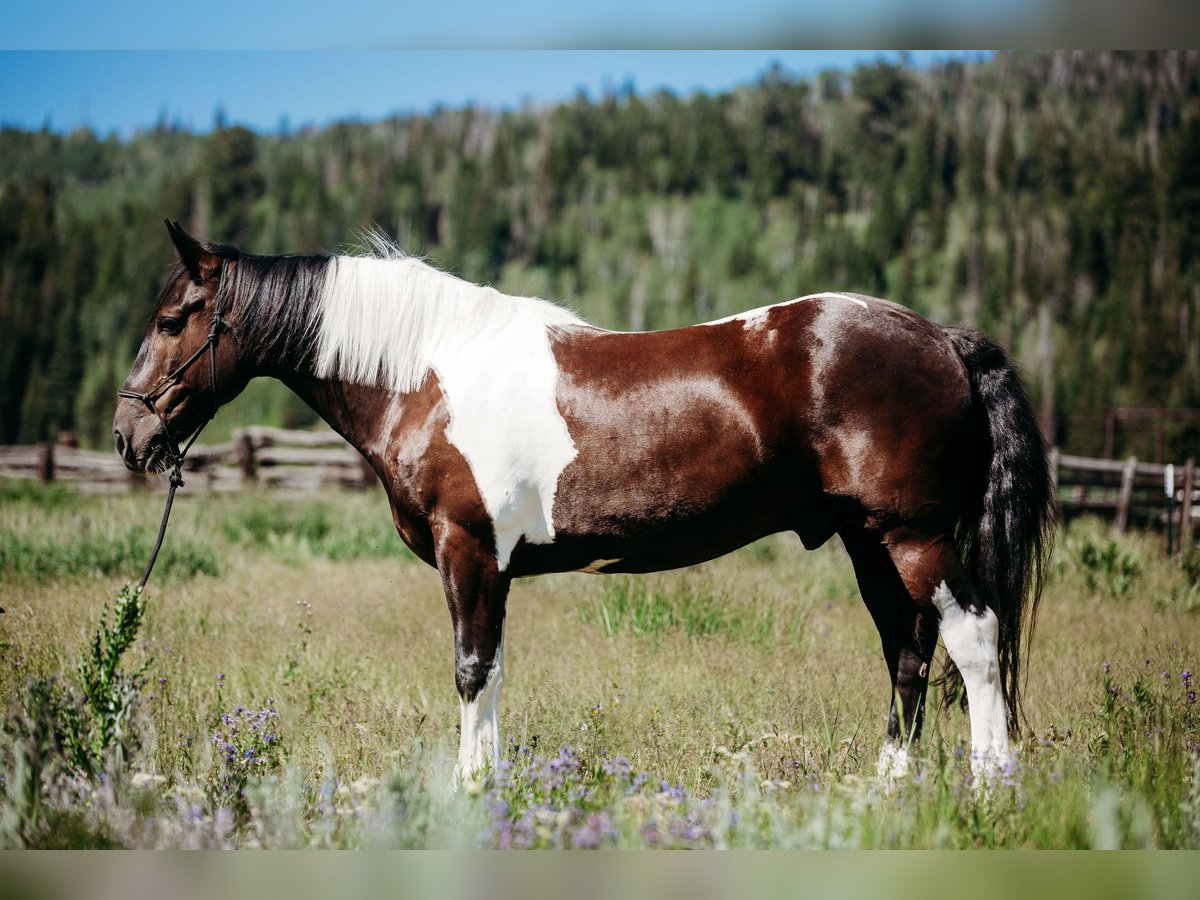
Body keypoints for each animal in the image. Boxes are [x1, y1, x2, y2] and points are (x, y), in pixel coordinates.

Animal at [112, 222, 1051, 787]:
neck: (429, 374)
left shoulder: (469, 550)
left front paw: (470, 789)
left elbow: (471, 669)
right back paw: (888, 787)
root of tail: (944, 340)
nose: (129, 435)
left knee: (971, 636)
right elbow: (489, 670)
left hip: (912, 536)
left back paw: (991, 785)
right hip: (868, 541)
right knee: (907, 650)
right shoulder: (490, 565)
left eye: (172, 318)